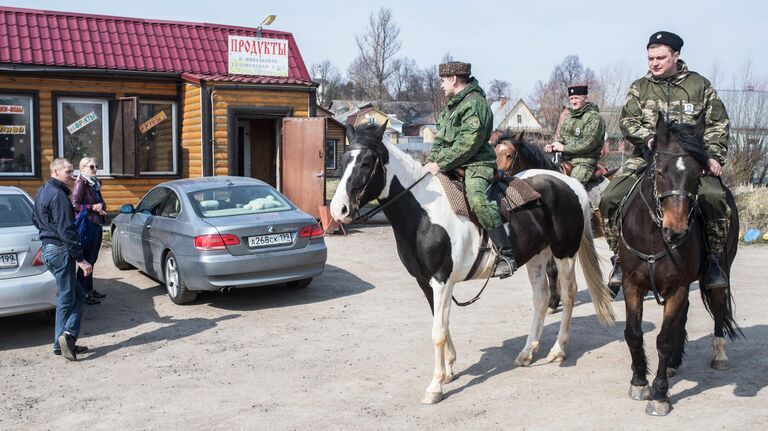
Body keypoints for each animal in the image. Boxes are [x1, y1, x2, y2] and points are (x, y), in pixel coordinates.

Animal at [332, 122, 616, 404]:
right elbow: (441, 323)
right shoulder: (425, 281)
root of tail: (570, 184)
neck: (424, 212)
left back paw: (557, 350)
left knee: (568, 295)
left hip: (564, 252)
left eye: (366, 162)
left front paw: (435, 386)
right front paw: (449, 370)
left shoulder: (442, 280)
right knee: (541, 299)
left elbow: (438, 332)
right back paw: (527, 352)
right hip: (537, 257)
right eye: (344, 160)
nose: (338, 210)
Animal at [616, 114, 736, 416]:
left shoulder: (678, 287)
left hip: (720, 273)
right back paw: (672, 364)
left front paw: (659, 395)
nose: (677, 230)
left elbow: (664, 340)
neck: (653, 236)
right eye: (659, 172)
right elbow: (633, 333)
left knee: (719, 308)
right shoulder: (632, 284)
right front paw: (639, 382)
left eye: (697, 175)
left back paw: (719, 354)